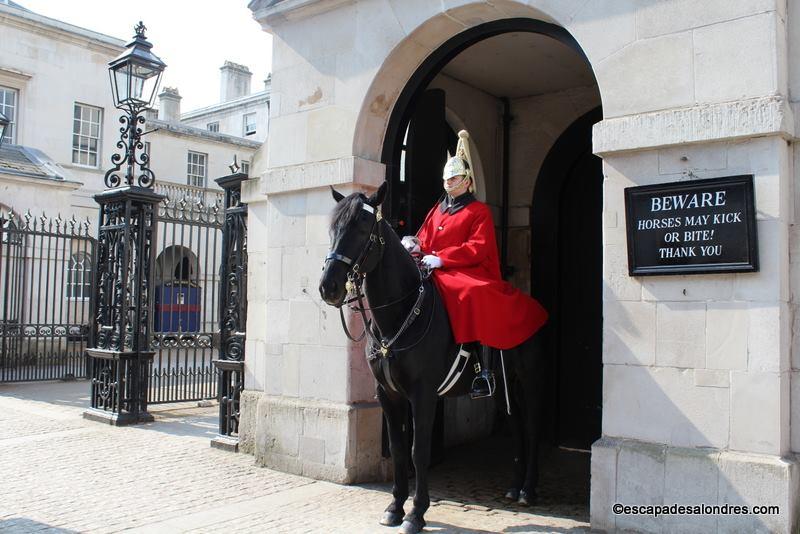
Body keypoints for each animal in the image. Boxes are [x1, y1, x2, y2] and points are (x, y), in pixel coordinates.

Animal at [322, 182, 548, 532]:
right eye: (333, 227)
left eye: (361, 226)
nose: (328, 287)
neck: (398, 315)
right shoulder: (387, 394)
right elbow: (398, 449)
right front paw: (394, 507)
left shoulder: (423, 394)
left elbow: (419, 451)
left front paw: (416, 513)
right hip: (502, 390)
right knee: (517, 427)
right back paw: (514, 487)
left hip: (531, 380)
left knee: (534, 428)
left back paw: (528, 489)